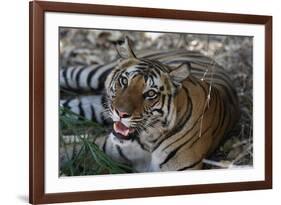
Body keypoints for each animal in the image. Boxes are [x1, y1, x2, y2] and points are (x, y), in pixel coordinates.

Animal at [59, 37, 238, 173]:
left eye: (150, 93)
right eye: (124, 81)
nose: (120, 113)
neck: (149, 140)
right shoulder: (99, 147)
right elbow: (65, 153)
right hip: (93, 75)